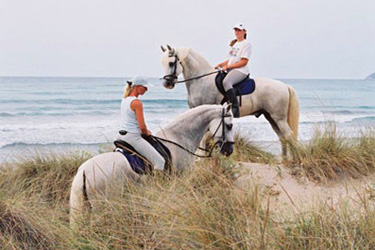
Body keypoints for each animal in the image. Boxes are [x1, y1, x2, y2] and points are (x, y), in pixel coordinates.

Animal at [69, 103, 234, 229]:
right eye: (229, 125)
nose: (229, 150)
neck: (179, 137)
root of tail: (84, 172)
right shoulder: (181, 179)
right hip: (104, 204)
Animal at [160, 45, 302, 158]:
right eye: (163, 63)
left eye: (171, 63)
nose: (167, 84)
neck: (202, 80)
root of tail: (284, 86)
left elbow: (203, 137)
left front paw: (200, 157)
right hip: (271, 117)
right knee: (282, 137)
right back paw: (284, 160)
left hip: (279, 118)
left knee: (289, 135)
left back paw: (294, 161)